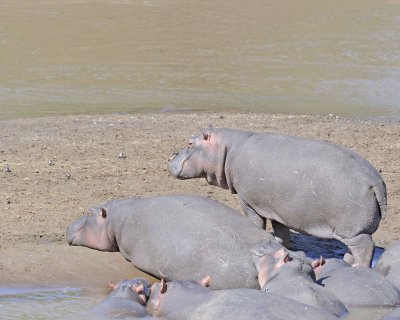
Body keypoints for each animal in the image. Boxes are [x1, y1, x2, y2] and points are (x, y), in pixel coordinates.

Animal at [169, 127, 388, 268]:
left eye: (190, 143)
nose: (169, 162)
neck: (227, 150)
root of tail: (375, 181)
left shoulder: (248, 202)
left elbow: (256, 223)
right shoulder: (277, 209)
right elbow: (281, 232)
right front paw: (281, 246)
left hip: (354, 231)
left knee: (366, 247)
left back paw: (357, 267)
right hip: (351, 231)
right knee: (355, 249)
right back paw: (347, 262)